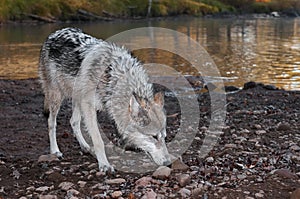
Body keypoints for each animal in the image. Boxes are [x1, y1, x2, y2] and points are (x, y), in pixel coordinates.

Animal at [38, 27, 171, 172]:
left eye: (164, 137)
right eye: (153, 136)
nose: (168, 163)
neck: (112, 77)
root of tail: (53, 34)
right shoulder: (89, 106)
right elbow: (98, 140)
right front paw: (104, 165)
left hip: (78, 98)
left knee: (73, 121)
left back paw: (85, 147)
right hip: (57, 96)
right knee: (51, 122)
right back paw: (55, 151)